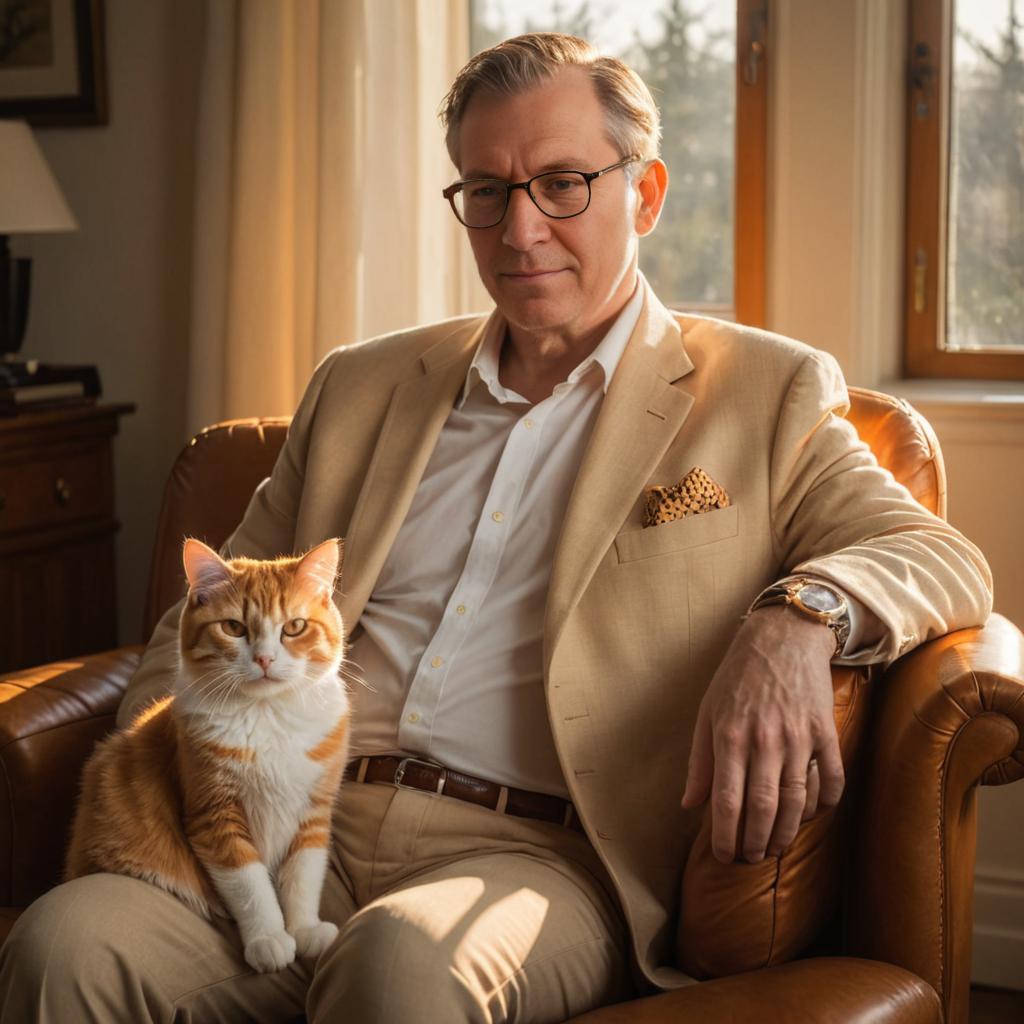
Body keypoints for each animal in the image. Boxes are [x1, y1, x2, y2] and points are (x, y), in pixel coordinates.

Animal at [68, 540, 350, 970]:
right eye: (234, 628)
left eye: (294, 627)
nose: (265, 659)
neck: (267, 716)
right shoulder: (214, 816)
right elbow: (250, 885)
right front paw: (268, 939)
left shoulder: (314, 813)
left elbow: (302, 876)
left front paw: (304, 929)